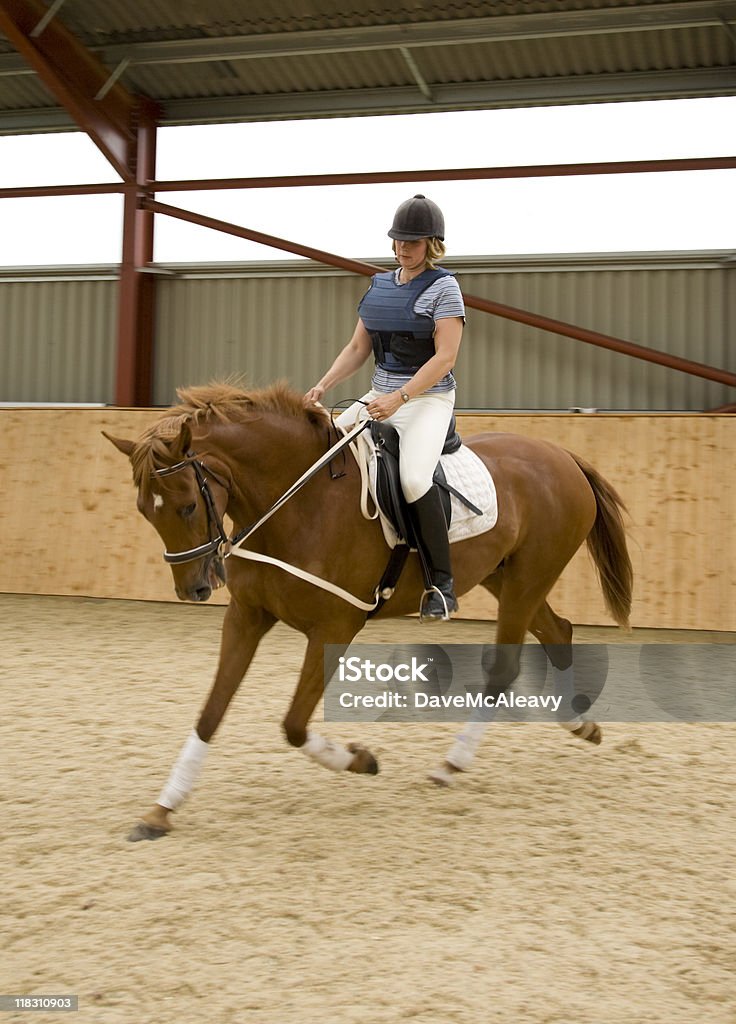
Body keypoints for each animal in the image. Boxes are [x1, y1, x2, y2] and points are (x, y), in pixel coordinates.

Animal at [104, 385, 634, 839]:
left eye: (188, 507)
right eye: (145, 510)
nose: (192, 589)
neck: (297, 504)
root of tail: (562, 456)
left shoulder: (334, 627)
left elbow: (294, 726)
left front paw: (360, 760)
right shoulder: (247, 617)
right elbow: (210, 714)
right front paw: (162, 810)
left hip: (527, 579)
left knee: (506, 665)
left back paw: (452, 763)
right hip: (503, 577)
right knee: (558, 631)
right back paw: (578, 723)